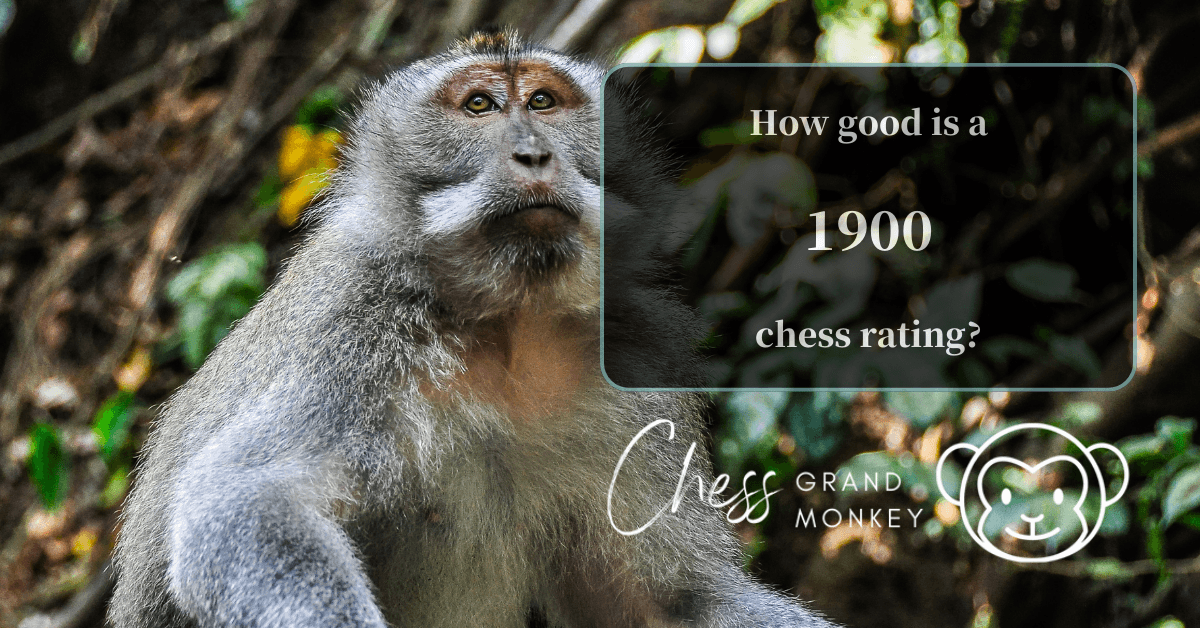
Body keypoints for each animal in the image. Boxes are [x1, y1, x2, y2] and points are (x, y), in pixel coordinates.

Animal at [108, 30, 837, 628]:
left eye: (543, 101)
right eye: (480, 106)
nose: (533, 153)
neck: (511, 329)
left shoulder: (632, 361)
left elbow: (669, 602)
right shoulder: (355, 327)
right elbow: (244, 504)